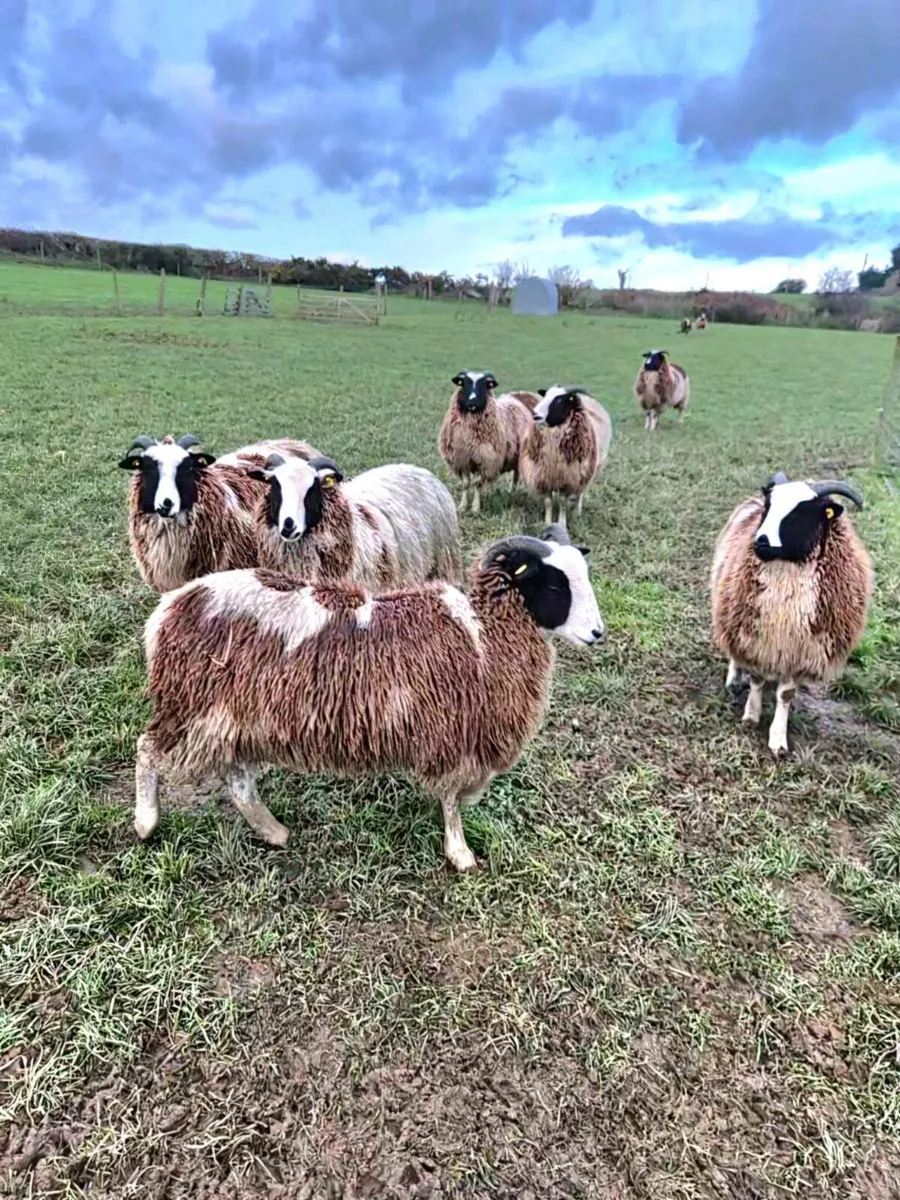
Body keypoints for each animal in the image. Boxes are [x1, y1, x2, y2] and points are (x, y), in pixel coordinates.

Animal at [132, 524, 606, 871]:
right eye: (554, 587)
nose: (598, 633)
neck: (483, 633)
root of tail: (170, 607)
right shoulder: (452, 736)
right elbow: (453, 800)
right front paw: (460, 855)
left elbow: (466, 793)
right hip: (192, 704)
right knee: (148, 749)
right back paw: (146, 822)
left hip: (236, 715)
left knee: (238, 778)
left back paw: (273, 832)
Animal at [438, 370, 537, 514]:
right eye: (464, 383)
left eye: (485, 385)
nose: (472, 403)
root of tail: (523, 394)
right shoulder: (462, 459)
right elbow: (465, 484)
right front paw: (462, 506)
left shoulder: (486, 461)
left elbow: (477, 484)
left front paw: (475, 508)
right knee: (516, 474)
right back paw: (511, 492)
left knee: (517, 475)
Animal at [519, 385, 613, 528]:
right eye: (545, 396)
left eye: (559, 400)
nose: (535, 415)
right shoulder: (544, 477)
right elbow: (548, 501)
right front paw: (547, 522)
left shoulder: (567, 479)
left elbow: (563, 502)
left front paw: (561, 523)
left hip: (586, 473)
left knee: (580, 494)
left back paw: (577, 513)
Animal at [710, 471, 873, 757]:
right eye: (769, 506)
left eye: (802, 512)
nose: (760, 542)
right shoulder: (756, 641)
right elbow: (756, 679)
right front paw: (750, 717)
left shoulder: (799, 652)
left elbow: (785, 696)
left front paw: (778, 740)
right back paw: (734, 679)